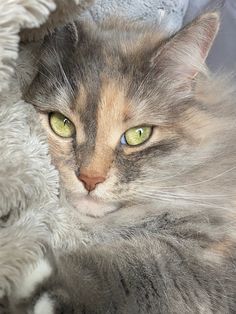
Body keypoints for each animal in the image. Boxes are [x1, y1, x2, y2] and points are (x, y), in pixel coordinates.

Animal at [9, 11, 236, 312]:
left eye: (138, 134)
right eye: (62, 124)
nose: (90, 179)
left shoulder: (208, 254)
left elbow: (143, 270)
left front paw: (34, 276)